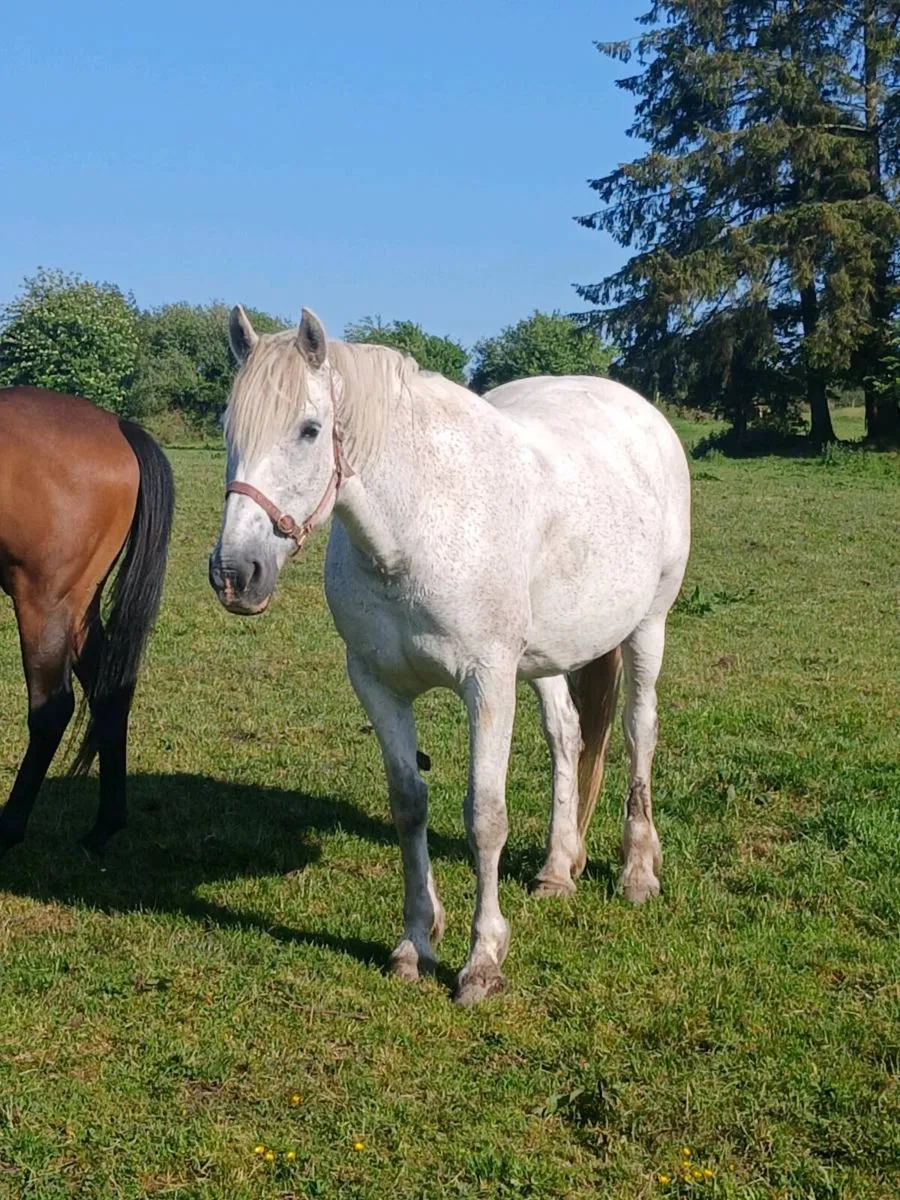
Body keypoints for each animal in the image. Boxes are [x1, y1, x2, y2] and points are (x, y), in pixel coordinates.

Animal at [0, 386, 174, 855]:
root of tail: (118, 427)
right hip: (78, 607)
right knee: (110, 691)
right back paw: (103, 828)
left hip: (44, 603)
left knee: (52, 709)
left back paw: (10, 828)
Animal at [209, 306, 691, 1005]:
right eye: (228, 429)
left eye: (309, 430)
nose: (235, 574)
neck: (417, 524)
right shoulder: (378, 684)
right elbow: (409, 805)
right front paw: (417, 942)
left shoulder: (486, 684)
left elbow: (485, 817)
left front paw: (483, 961)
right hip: (544, 659)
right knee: (567, 735)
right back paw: (556, 869)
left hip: (647, 628)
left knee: (637, 733)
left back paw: (636, 872)